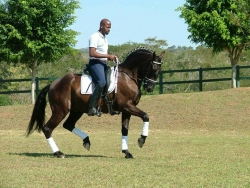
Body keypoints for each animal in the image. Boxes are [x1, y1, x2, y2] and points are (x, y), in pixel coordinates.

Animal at [26, 47, 165, 158]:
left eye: (159, 70)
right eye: (153, 68)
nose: (149, 88)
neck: (128, 76)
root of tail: (53, 83)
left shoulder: (127, 110)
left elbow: (124, 130)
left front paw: (126, 152)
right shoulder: (127, 106)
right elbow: (146, 116)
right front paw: (142, 139)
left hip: (77, 110)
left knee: (68, 125)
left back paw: (86, 141)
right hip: (60, 111)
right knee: (47, 128)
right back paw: (58, 153)